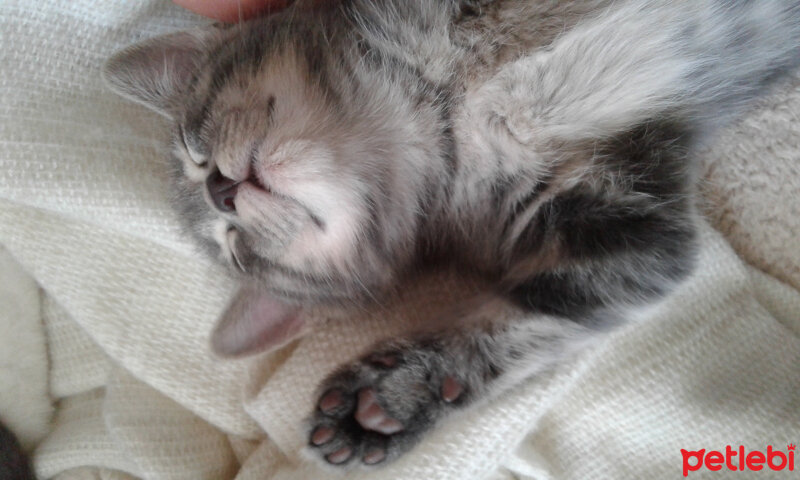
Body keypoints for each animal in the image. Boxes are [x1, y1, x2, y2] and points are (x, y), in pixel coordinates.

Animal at [104, 0, 800, 466]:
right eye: (238, 250)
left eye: (195, 151)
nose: (220, 191)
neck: (442, 113)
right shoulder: (630, 227)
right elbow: (534, 318)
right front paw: (400, 394)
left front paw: (400, 389)